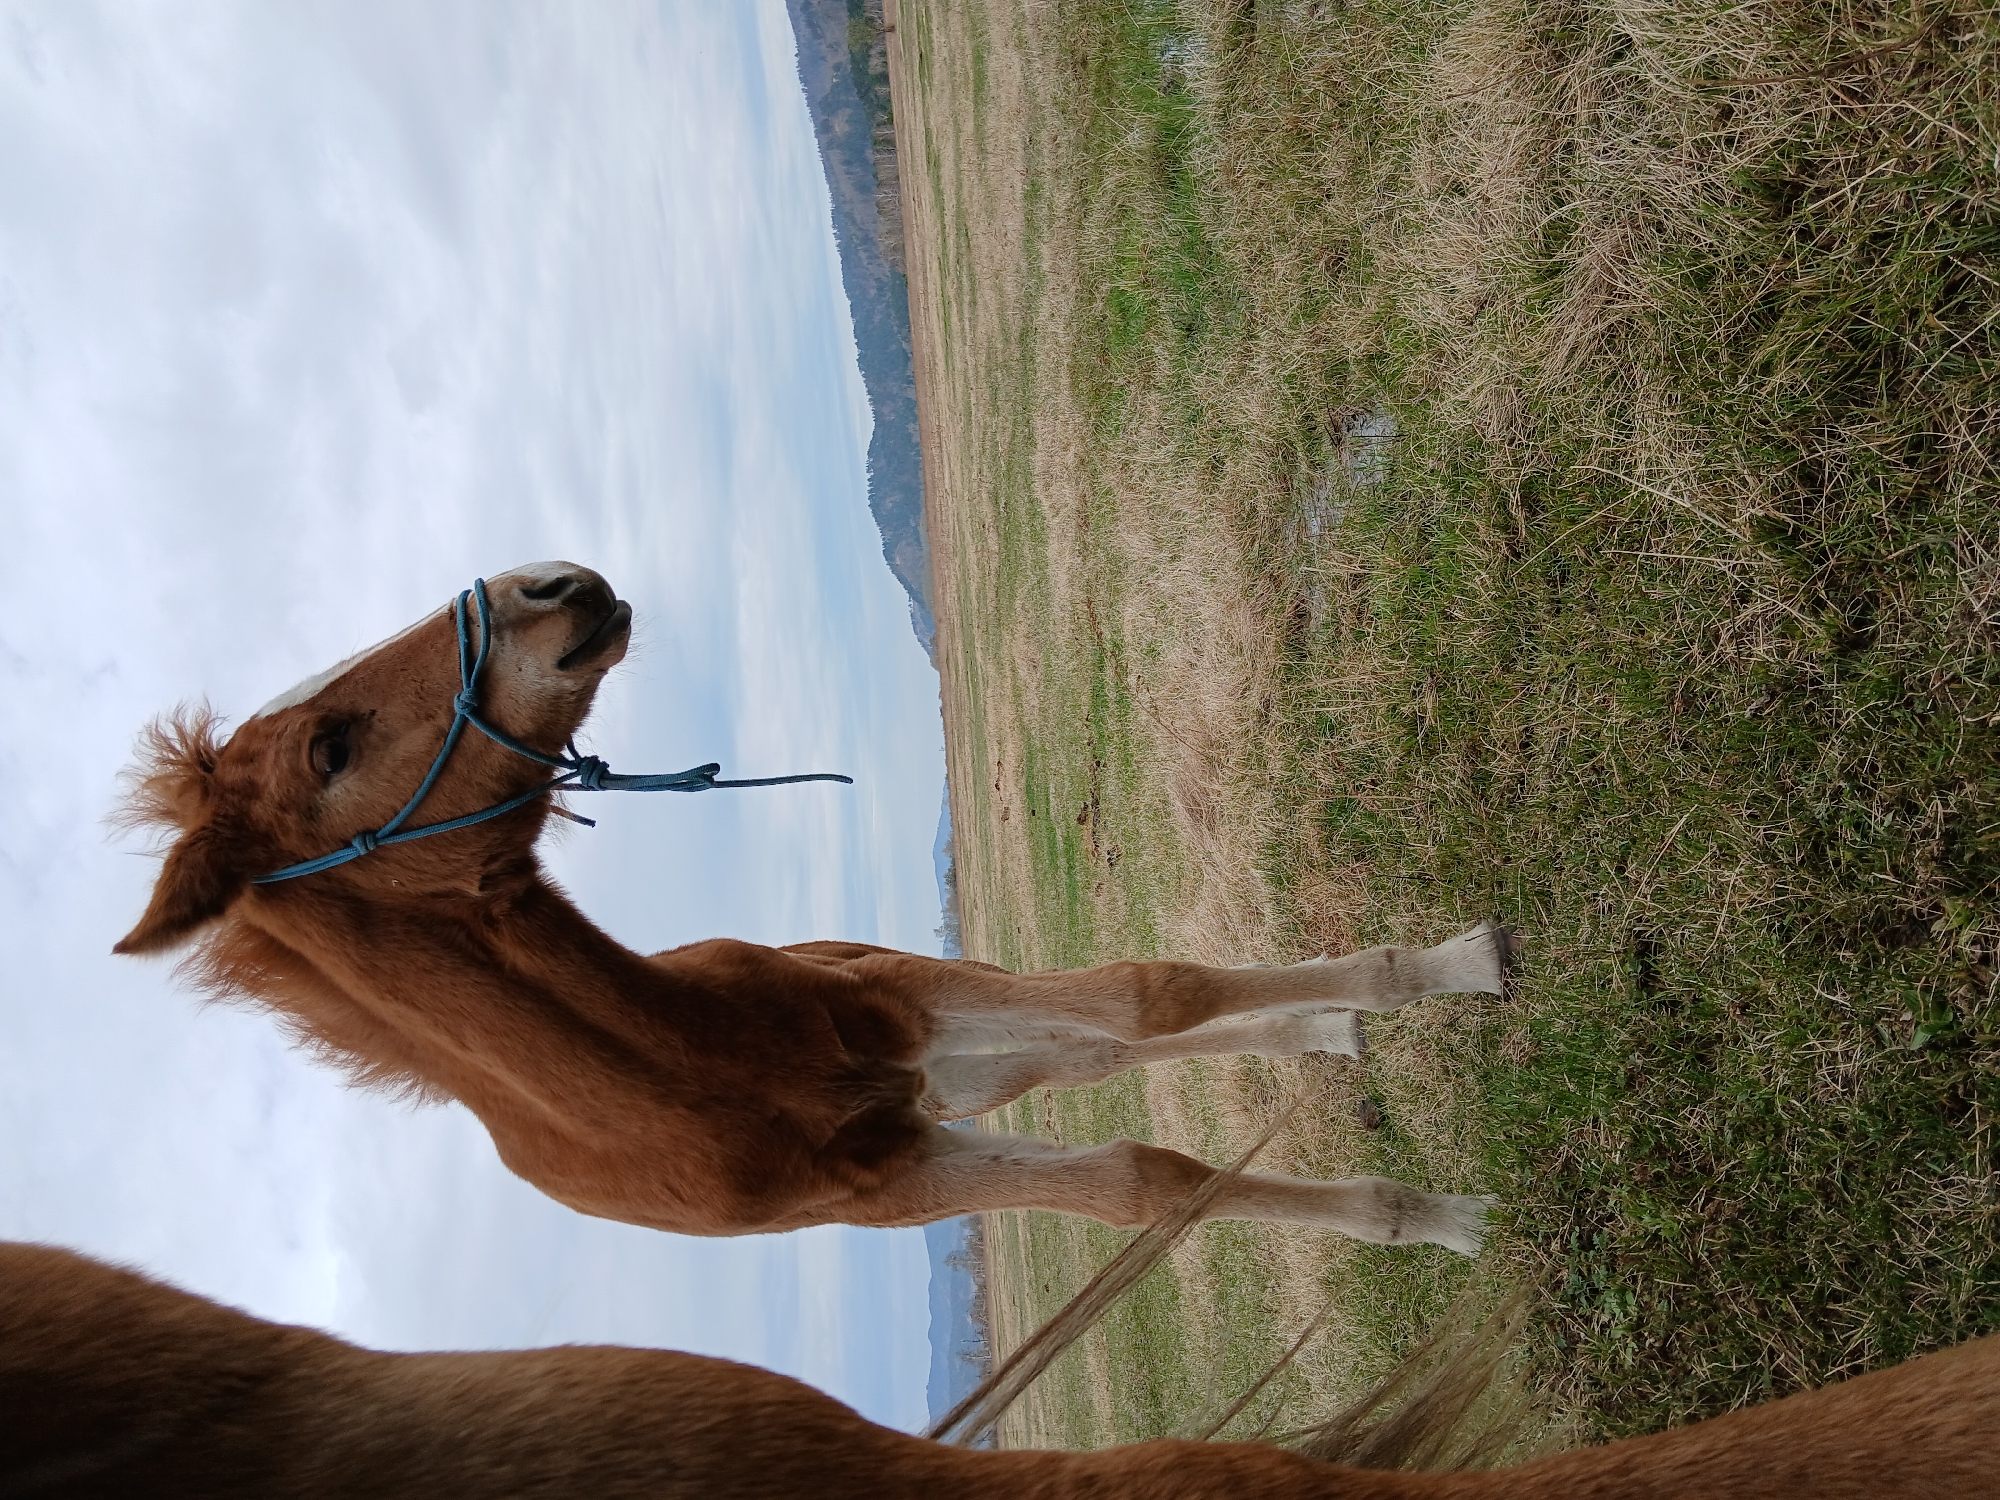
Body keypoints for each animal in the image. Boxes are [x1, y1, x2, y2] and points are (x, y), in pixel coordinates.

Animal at [114, 561, 1508, 1245]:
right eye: (330, 750)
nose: (548, 582)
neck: (700, 1073)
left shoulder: (905, 1008)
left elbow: (1149, 998)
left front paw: (1448, 982)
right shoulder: (896, 1179)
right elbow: (1142, 1177)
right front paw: (1434, 1213)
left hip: (945, 1034)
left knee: (1107, 1036)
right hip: (972, 1080)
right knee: (1089, 1058)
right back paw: (1323, 1031)